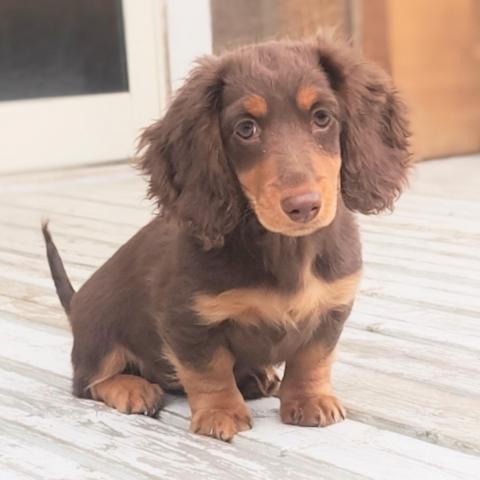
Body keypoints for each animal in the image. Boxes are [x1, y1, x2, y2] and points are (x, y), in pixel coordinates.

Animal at [43, 34, 410, 441]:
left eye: (322, 117)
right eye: (246, 128)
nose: (303, 206)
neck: (285, 248)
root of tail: (76, 303)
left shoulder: (333, 307)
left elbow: (312, 357)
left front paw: (309, 399)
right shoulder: (187, 318)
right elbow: (209, 370)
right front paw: (221, 413)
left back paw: (256, 378)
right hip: (100, 336)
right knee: (88, 382)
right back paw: (132, 388)